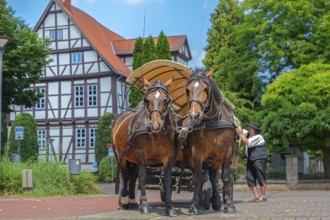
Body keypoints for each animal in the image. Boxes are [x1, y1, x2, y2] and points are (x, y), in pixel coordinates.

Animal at [111, 78, 179, 217]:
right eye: (147, 100)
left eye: (166, 100)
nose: (155, 125)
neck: (157, 134)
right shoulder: (140, 153)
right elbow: (142, 177)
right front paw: (144, 205)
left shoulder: (169, 156)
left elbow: (167, 180)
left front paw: (169, 207)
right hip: (121, 155)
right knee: (125, 175)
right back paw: (125, 199)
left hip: (133, 159)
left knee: (132, 177)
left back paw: (132, 201)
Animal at [184, 71, 238, 215]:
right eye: (188, 90)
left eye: (205, 89)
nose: (194, 115)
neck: (213, 121)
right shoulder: (197, 154)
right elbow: (197, 179)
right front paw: (195, 207)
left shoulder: (227, 153)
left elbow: (225, 178)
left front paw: (229, 205)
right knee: (198, 178)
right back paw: (198, 203)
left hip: (215, 160)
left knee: (213, 177)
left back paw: (217, 201)